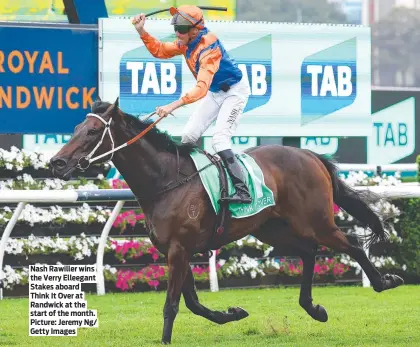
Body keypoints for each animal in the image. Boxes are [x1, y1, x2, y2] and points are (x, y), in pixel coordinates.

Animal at [49, 99, 404, 346]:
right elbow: (192, 303)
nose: (57, 162)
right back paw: (313, 308)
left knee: (350, 244)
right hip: (270, 228)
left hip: (315, 221)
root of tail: (310, 155)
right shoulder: (175, 251)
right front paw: (232, 313)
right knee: (308, 251)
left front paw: (165, 339)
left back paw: (384, 281)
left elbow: (172, 304)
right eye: (76, 130)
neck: (166, 180)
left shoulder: (180, 249)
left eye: (93, 132)